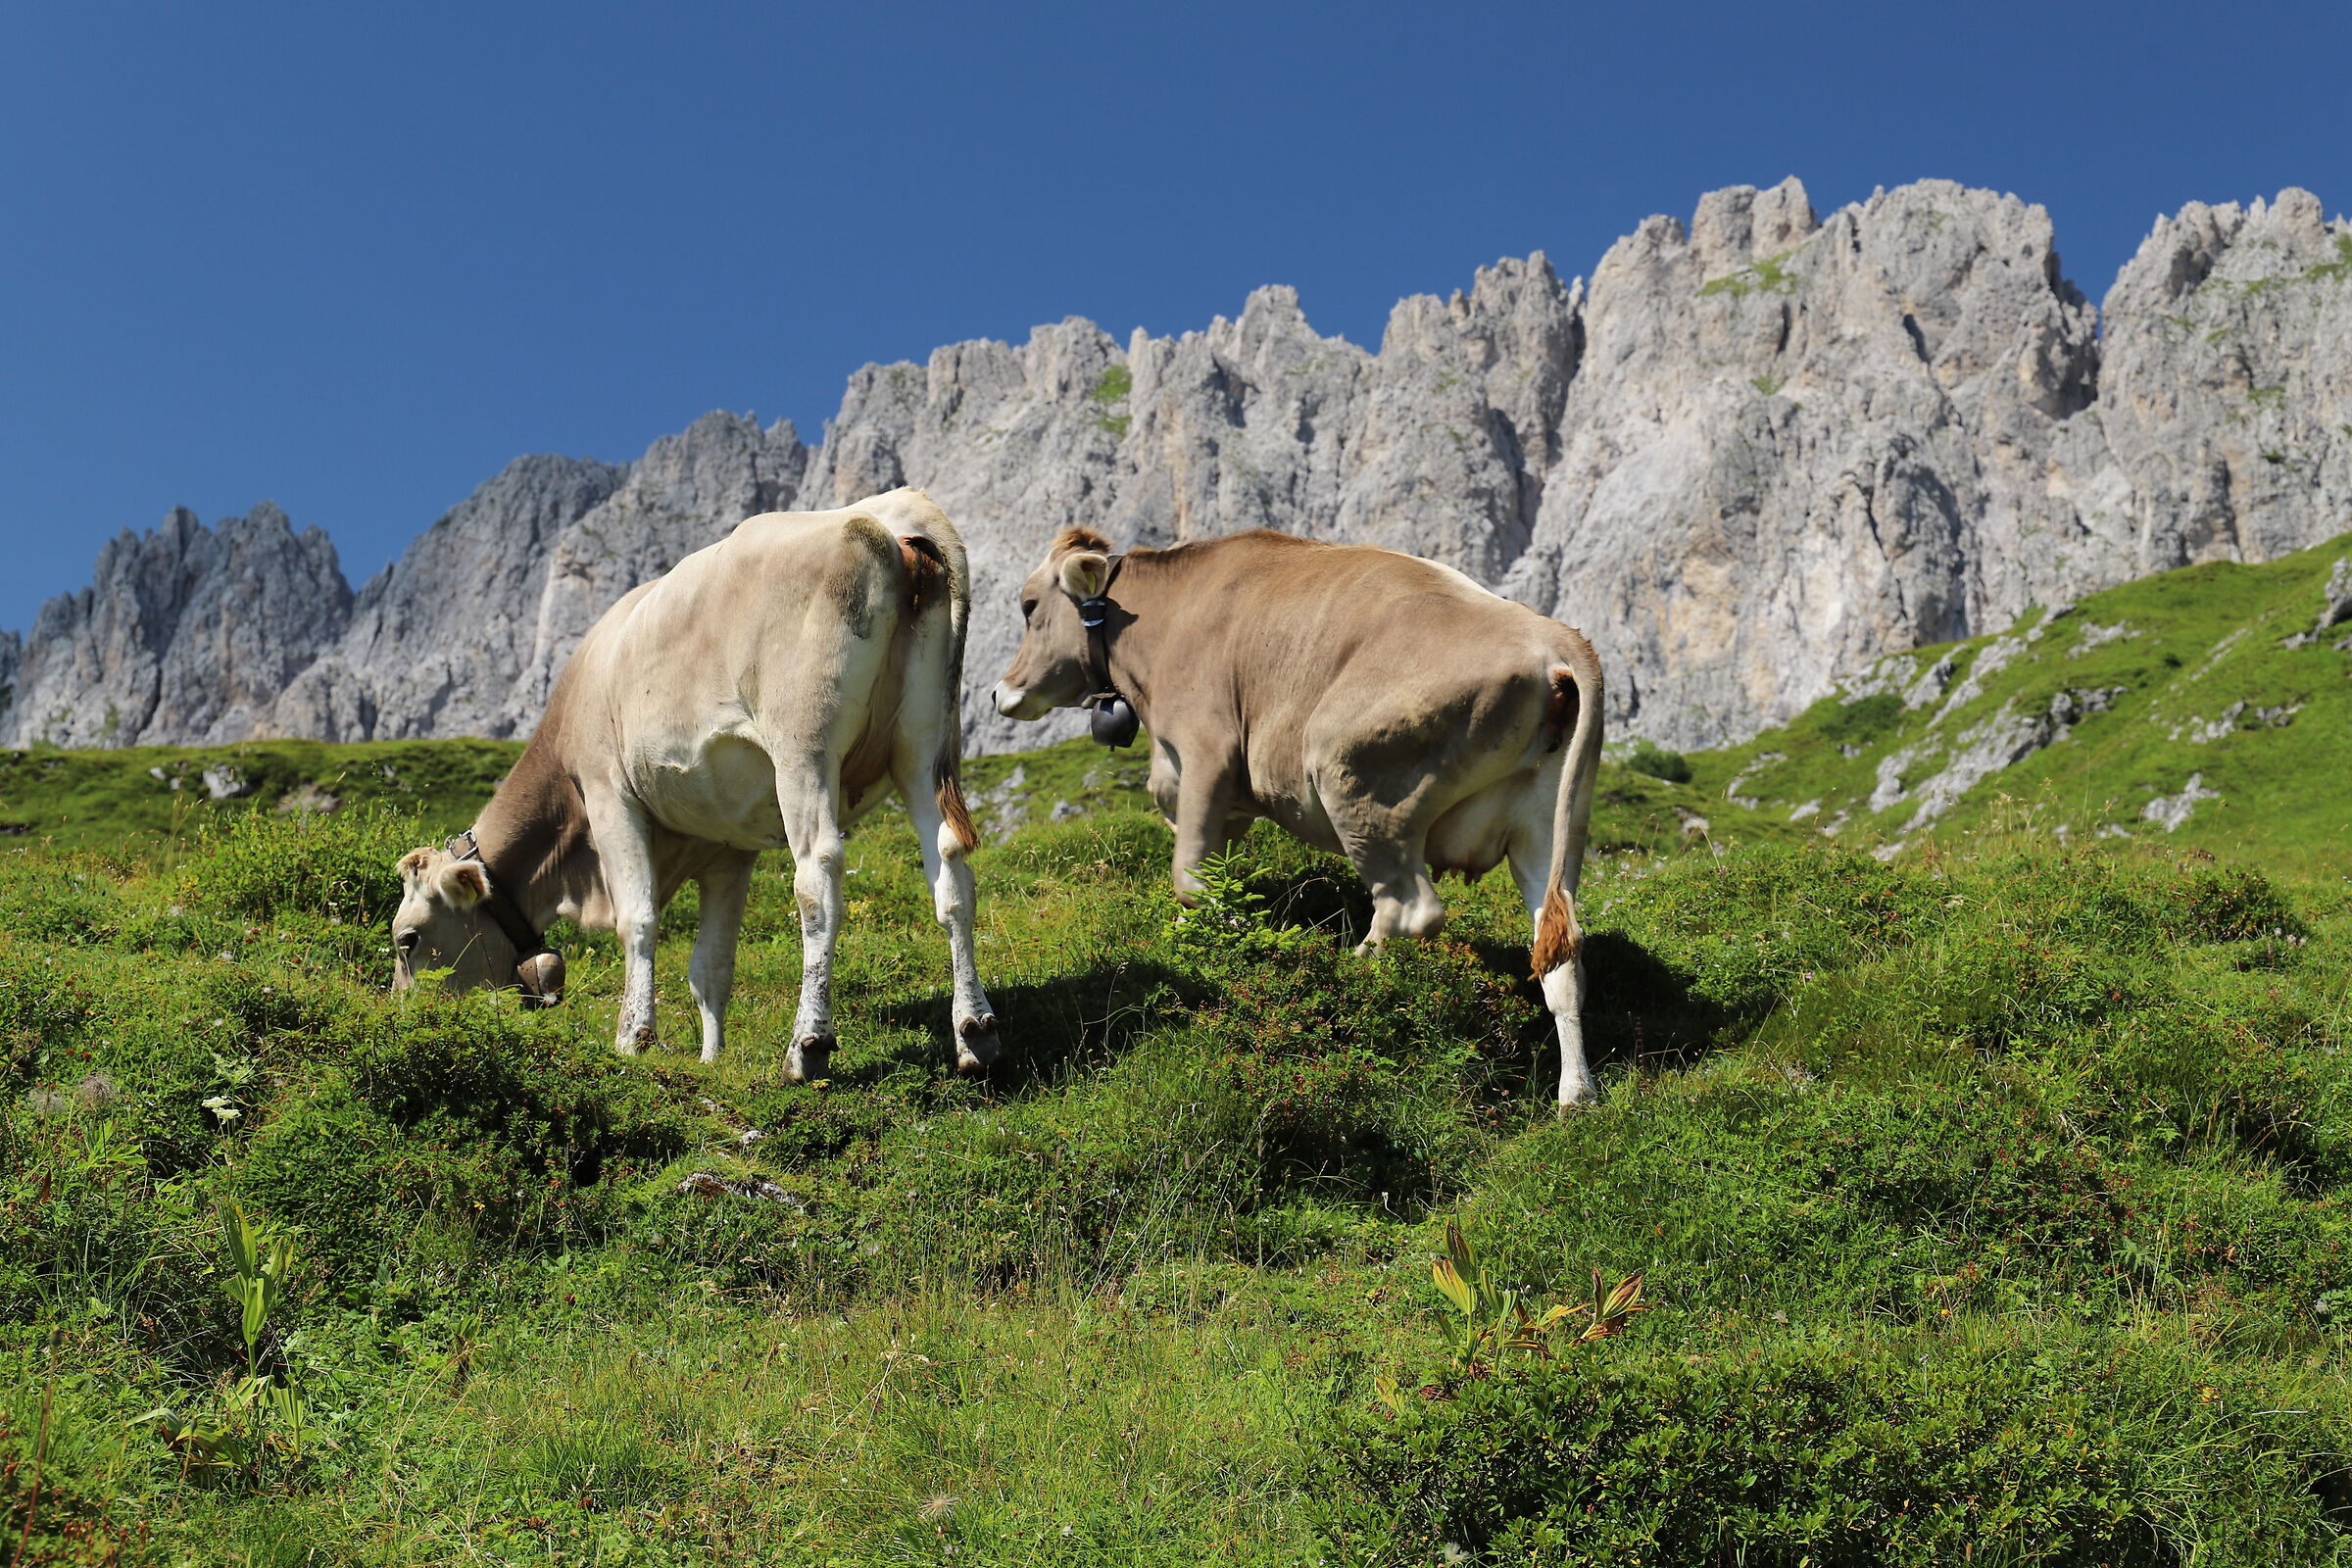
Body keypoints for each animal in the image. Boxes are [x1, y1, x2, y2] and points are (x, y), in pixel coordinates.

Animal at [391, 487, 1001, 1084]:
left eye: (407, 939)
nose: (406, 1015)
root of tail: (893, 517)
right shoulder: (728, 847)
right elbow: (711, 964)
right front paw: (711, 1060)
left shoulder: (610, 796)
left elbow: (637, 920)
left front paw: (633, 1038)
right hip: (923, 745)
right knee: (950, 870)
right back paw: (973, 1029)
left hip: (804, 745)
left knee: (818, 878)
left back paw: (807, 1045)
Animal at [990, 527, 1606, 1108]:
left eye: (1028, 606)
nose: (1000, 691)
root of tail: (1553, 642)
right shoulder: (1227, 796)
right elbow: (1216, 873)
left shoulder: (1206, 750)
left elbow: (1191, 879)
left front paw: (1245, 945)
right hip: (1548, 830)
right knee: (1561, 951)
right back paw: (1576, 1094)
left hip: (1353, 778)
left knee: (1409, 909)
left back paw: (1344, 975)